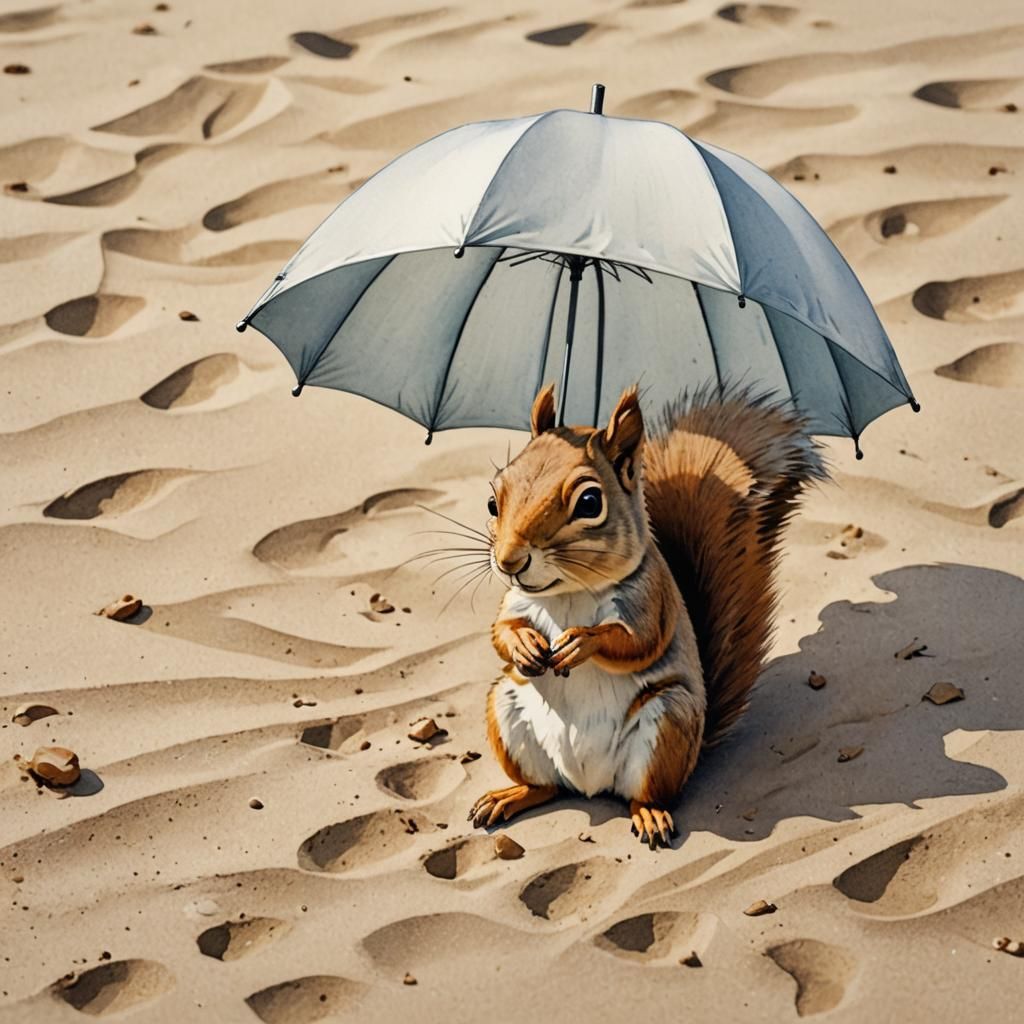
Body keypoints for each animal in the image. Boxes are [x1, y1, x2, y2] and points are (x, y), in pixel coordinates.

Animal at [468, 382, 826, 847]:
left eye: (590, 502)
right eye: (493, 500)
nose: (510, 561)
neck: (568, 595)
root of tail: (590, 785)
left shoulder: (651, 598)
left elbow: (638, 642)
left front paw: (581, 642)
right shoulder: (516, 601)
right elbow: (500, 631)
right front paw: (525, 644)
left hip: (666, 725)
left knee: (646, 793)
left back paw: (650, 814)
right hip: (507, 710)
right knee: (546, 787)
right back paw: (510, 796)